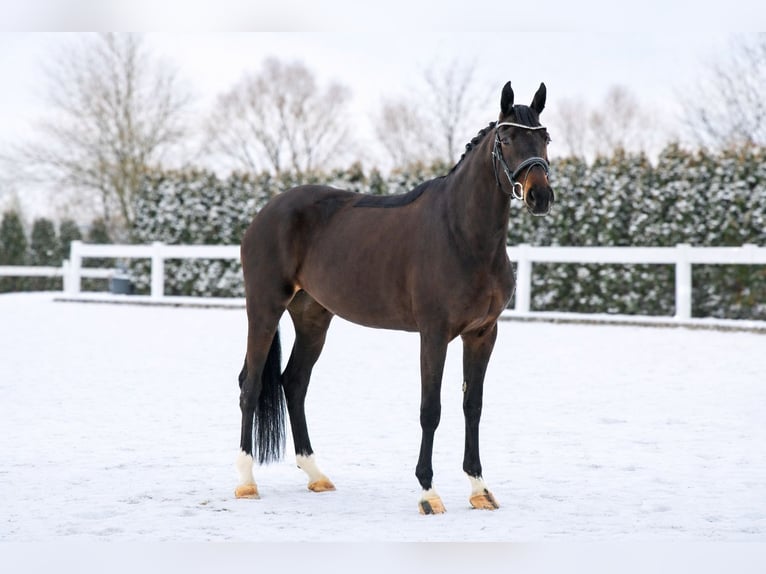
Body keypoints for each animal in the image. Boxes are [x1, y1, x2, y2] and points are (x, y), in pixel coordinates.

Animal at [234, 81, 554, 514]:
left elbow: (473, 406)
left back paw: (316, 475)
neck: (463, 235)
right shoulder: (434, 334)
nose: (541, 196)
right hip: (264, 307)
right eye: (506, 138)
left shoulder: (483, 334)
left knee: (294, 382)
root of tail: (266, 212)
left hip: (313, 317)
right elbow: (430, 410)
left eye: (545, 138)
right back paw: (246, 482)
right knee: (250, 385)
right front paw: (428, 493)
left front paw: (479, 489)